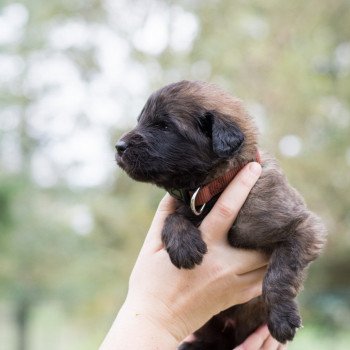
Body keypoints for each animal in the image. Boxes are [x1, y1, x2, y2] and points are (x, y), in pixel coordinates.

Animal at [115, 80, 326, 348]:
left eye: (164, 126)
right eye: (141, 121)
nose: (118, 146)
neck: (216, 186)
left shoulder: (302, 227)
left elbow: (278, 274)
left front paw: (282, 318)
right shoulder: (184, 204)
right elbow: (173, 217)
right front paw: (184, 245)